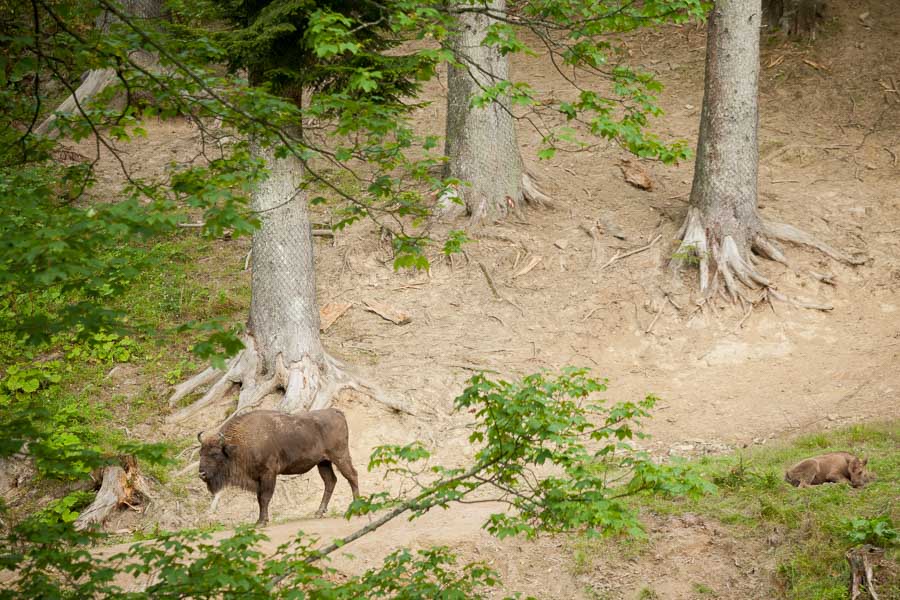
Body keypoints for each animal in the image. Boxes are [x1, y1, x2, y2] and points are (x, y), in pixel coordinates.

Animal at [199, 408, 360, 524]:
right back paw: (319, 512)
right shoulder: (259, 478)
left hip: (340, 456)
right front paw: (261, 520)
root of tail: (336, 412)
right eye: (201, 453)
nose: (201, 474)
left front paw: (261, 522)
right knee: (330, 481)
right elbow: (260, 498)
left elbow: (264, 497)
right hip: (323, 462)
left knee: (352, 476)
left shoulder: (268, 474)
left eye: (215, 454)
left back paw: (356, 509)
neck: (238, 445)